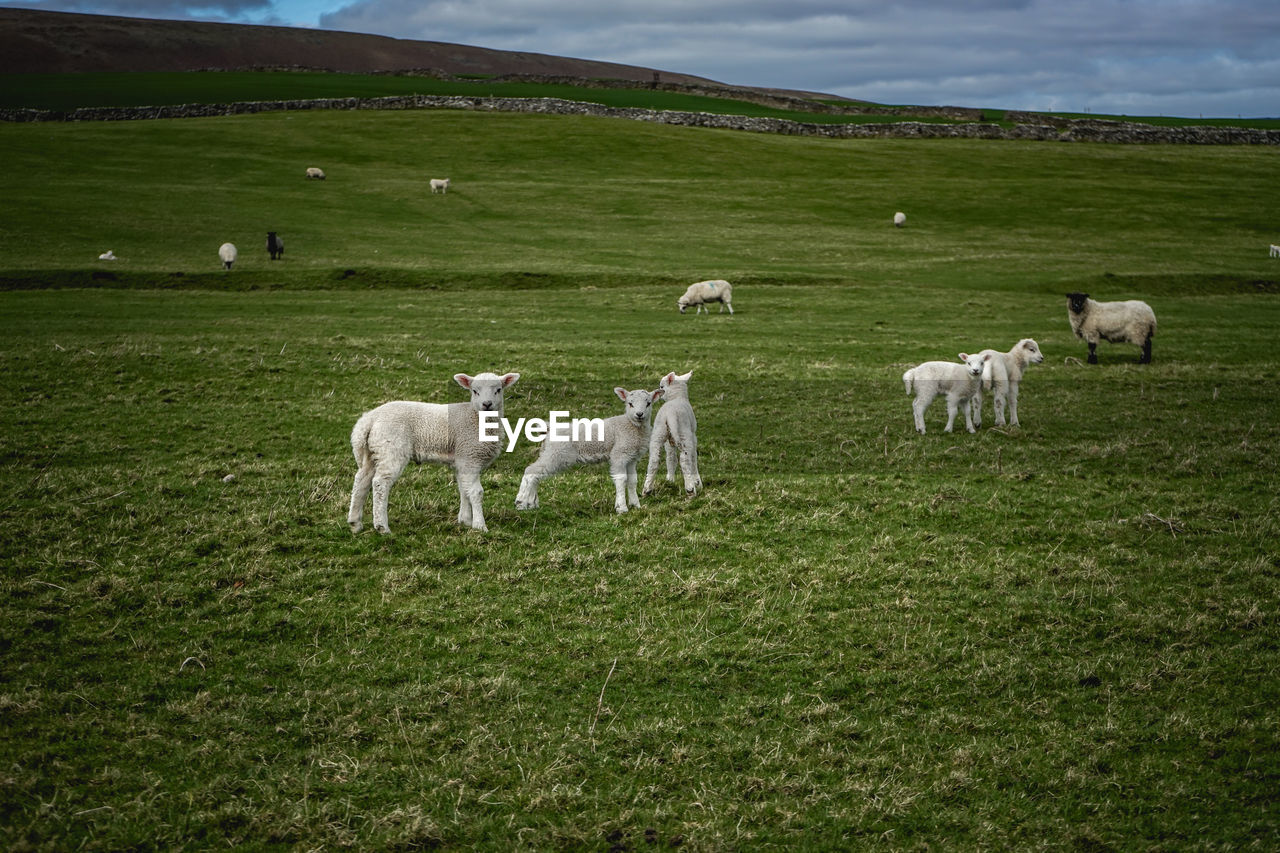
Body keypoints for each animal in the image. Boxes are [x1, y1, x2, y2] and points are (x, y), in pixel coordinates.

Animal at [348, 371, 522, 532]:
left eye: (498, 390)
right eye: (475, 391)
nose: (487, 404)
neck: (475, 417)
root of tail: (369, 419)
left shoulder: (461, 460)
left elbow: (463, 490)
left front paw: (465, 521)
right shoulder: (470, 457)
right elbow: (475, 492)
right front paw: (479, 526)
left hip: (372, 451)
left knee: (361, 480)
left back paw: (355, 523)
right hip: (391, 448)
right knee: (380, 483)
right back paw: (382, 526)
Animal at [514, 384, 665, 512]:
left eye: (648, 403)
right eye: (630, 403)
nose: (639, 414)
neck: (632, 426)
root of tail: (549, 429)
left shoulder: (632, 457)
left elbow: (633, 481)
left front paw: (636, 505)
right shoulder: (619, 454)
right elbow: (621, 479)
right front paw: (622, 508)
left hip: (549, 452)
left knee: (536, 474)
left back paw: (531, 503)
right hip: (556, 453)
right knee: (531, 471)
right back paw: (521, 502)